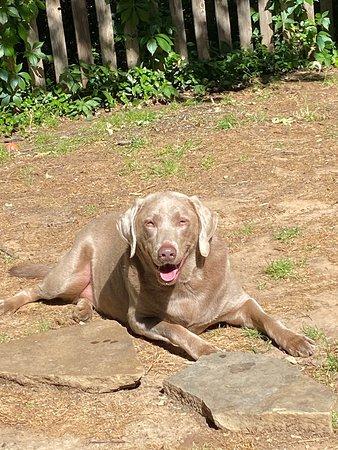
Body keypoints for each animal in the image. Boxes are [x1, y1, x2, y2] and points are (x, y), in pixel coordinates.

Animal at [0, 192, 314, 360]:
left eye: (183, 221)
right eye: (149, 223)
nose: (166, 253)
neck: (186, 283)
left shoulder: (239, 302)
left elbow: (267, 317)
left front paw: (297, 340)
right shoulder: (139, 319)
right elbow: (177, 329)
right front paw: (207, 350)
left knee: (87, 296)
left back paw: (82, 311)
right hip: (67, 275)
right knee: (36, 290)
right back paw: (7, 304)